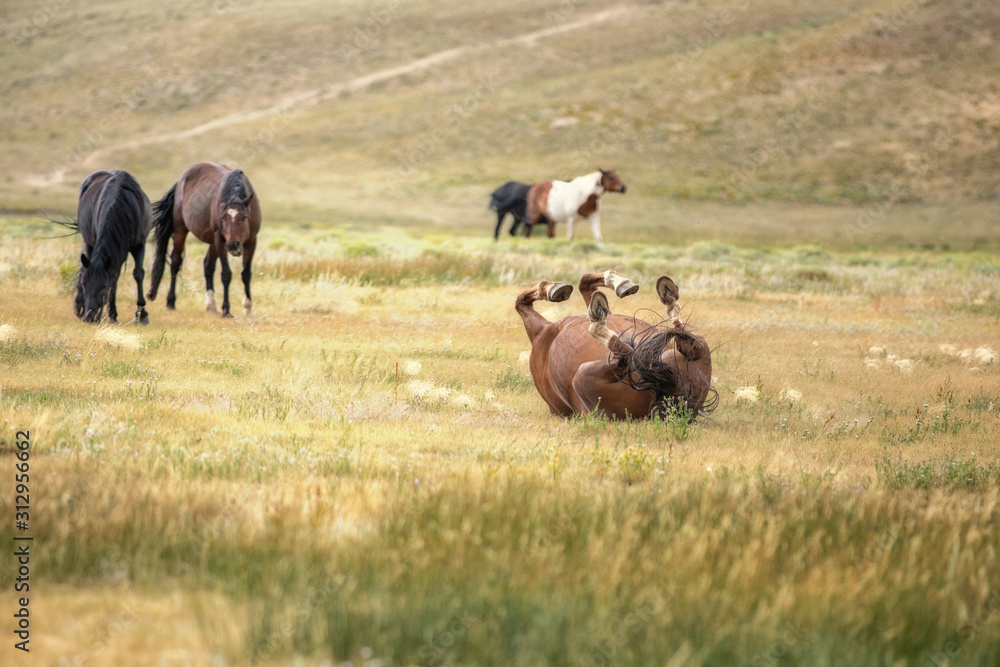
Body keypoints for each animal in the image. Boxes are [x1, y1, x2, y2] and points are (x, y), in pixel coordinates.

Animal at [70, 170, 153, 324]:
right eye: (84, 285)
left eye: (104, 286)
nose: (90, 318)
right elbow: (113, 277)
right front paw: (112, 314)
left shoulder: (139, 245)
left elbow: (137, 274)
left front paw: (141, 314)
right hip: (89, 242)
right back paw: (80, 307)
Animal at [147, 162, 261, 318]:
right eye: (223, 218)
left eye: (244, 217)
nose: (233, 246)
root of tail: (180, 181)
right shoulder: (220, 239)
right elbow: (226, 274)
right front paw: (226, 310)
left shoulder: (251, 241)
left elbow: (246, 274)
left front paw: (248, 309)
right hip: (181, 230)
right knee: (175, 263)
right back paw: (171, 302)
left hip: (213, 242)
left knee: (208, 266)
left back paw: (211, 306)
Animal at [514, 270, 716, 420]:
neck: (545, 333)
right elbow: (521, 302)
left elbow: (584, 283)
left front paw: (620, 284)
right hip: (583, 378)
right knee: (632, 355)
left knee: (683, 338)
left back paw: (666, 294)